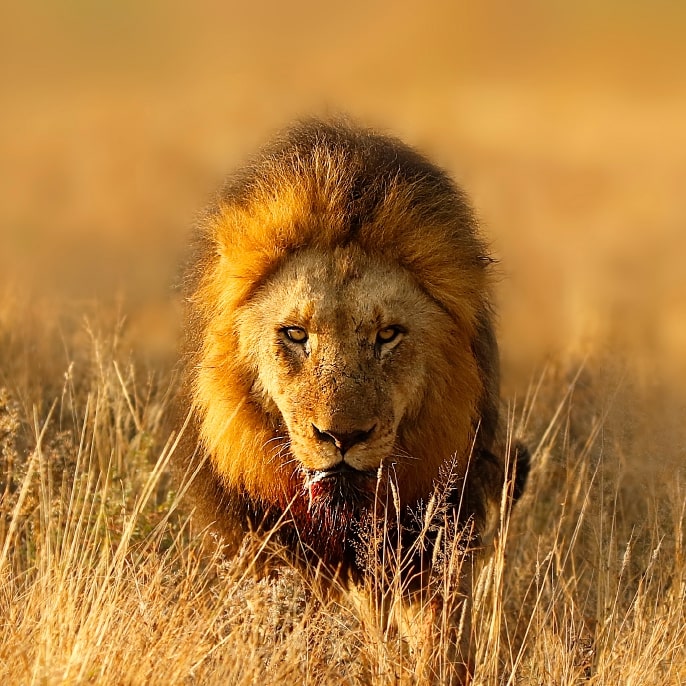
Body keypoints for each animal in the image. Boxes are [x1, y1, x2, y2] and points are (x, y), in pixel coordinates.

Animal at [175, 119, 528, 681]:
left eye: (387, 335)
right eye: (296, 334)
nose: (342, 437)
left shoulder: (435, 538)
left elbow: (435, 639)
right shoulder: (262, 544)